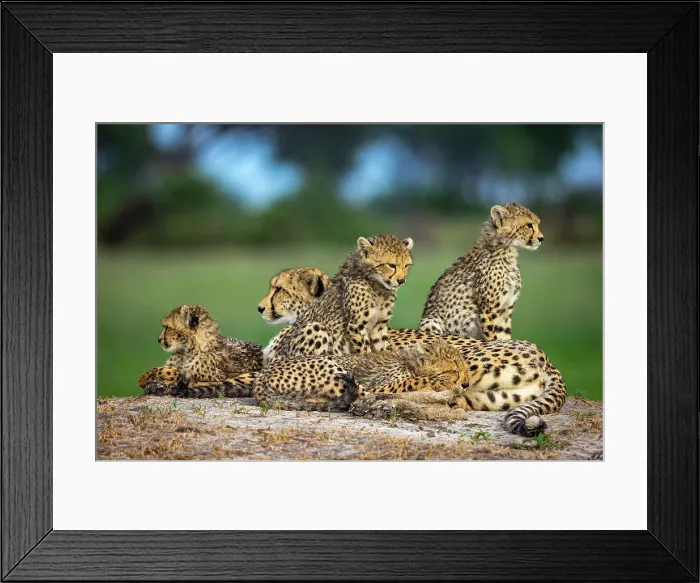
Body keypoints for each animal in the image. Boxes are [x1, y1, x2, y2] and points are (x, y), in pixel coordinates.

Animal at [253, 339, 470, 420]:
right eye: (454, 370)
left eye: (466, 369)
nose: (466, 384)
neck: (409, 362)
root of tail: (260, 378)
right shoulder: (383, 385)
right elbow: (416, 381)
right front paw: (448, 392)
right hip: (329, 364)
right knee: (362, 398)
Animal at [267, 234, 414, 363]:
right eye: (391, 265)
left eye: (406, 265)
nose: (401, 280)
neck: (378, 286)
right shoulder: (356, 326)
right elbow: (365, 351)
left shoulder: (379, 325)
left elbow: (381, 348)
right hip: (315, 329)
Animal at [420, 203, 544, 341]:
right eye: (529, 225)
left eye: (537, 224)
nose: (541, 238)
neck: (506, 250)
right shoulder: (489, 309)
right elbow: (493, 337)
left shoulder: (506, 309)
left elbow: (504, 337)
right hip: (430, 322)